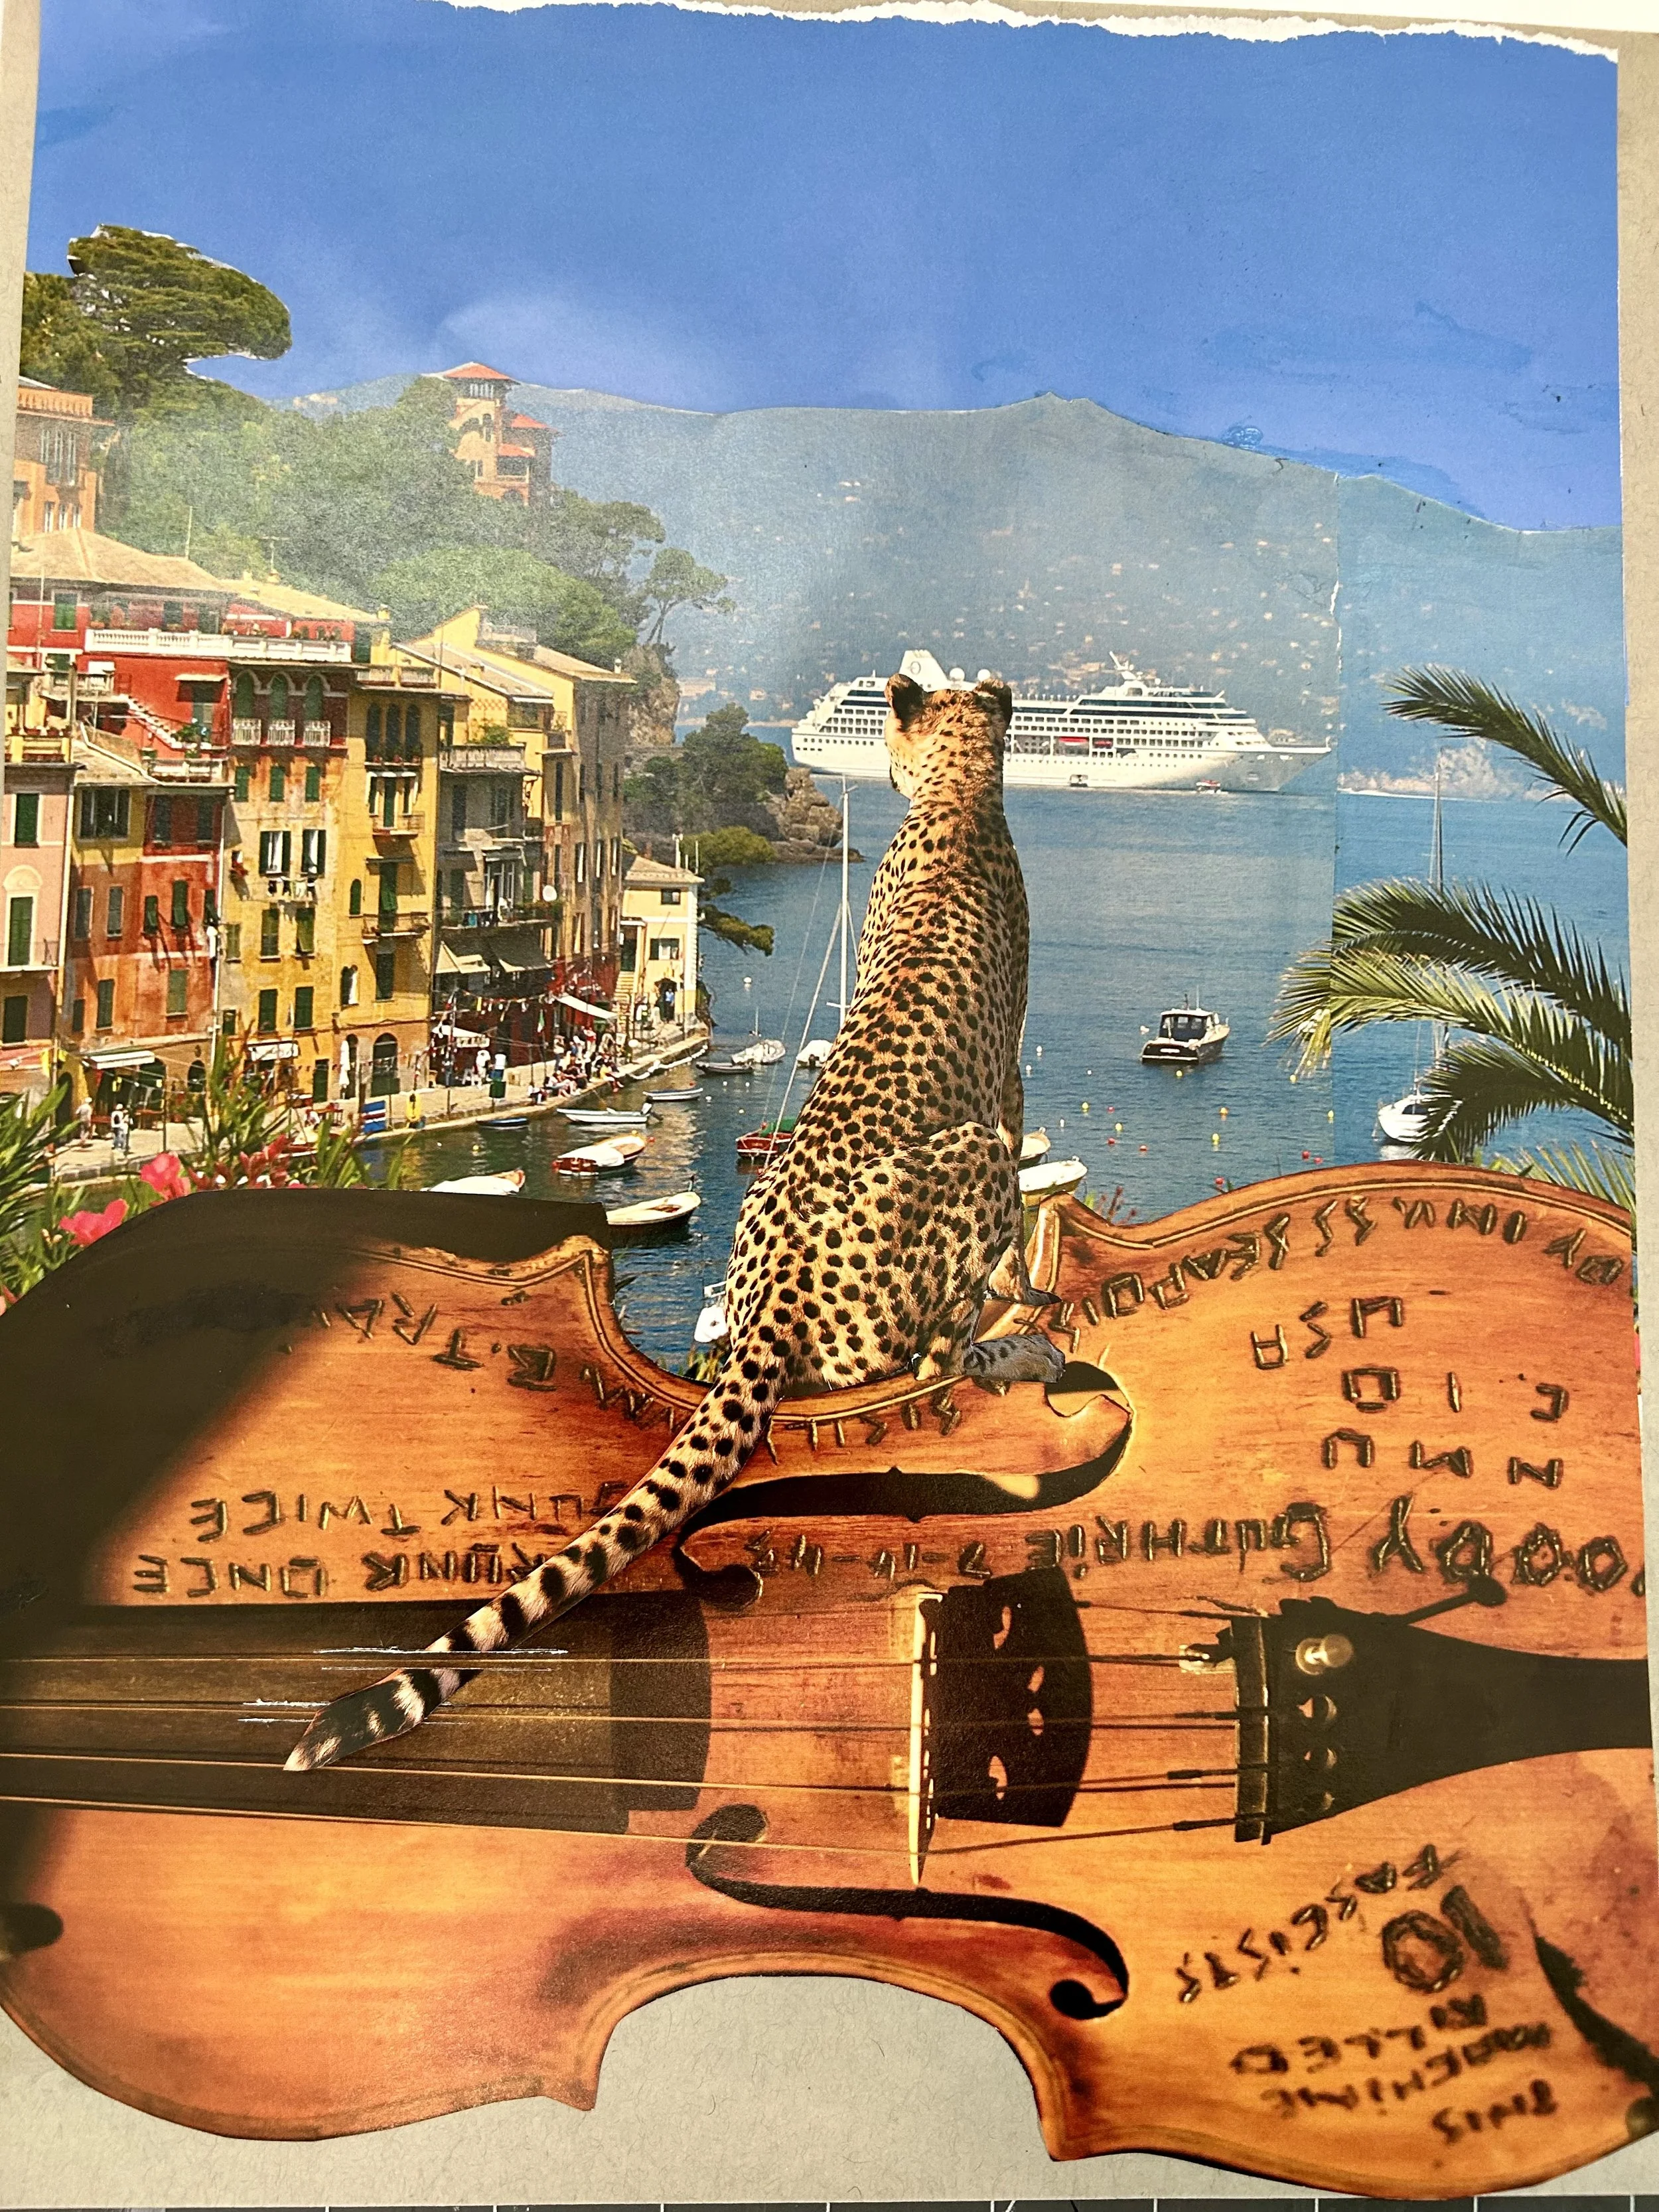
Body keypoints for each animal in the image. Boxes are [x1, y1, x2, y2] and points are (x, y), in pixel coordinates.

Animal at [286, 668, 1063, 1774]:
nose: (885, 767)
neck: (956, 792)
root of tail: (776, 1297)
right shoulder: (1004, 1094)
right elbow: (996, 1268)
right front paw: (1026, 1294)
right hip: (973, 1169)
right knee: (929, 1358)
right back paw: (1019, 1349)